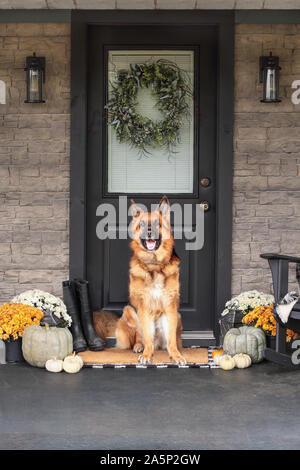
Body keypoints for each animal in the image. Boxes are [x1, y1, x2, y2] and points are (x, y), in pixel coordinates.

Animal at [115, 196, 185, 366]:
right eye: (141, 224)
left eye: (156, 223)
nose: (148, 232)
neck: (154, 265)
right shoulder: (144, 306)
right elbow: (146, 335)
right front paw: (147, 354)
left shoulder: (170, 306)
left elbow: (171, 339)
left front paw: (176, 355)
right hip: (129, 310)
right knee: (141, 336)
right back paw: (139, 346)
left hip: (178, 315)